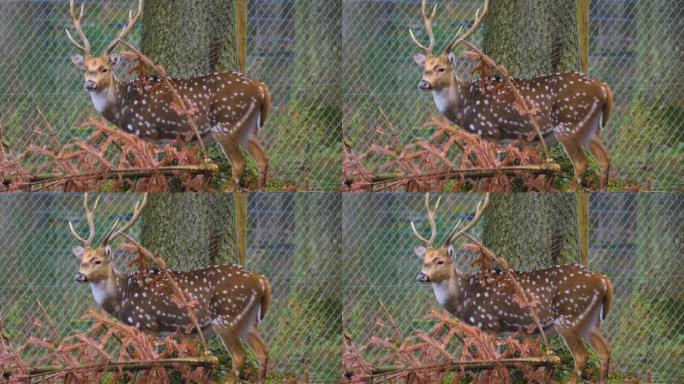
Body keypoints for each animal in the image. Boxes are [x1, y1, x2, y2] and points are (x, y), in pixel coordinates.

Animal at [65, 0, 270, 190]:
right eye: (85, 68)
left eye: (104, 68)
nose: (89, 84)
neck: (123, 105)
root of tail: (261, 88)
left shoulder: (147, 131)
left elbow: (149, 169)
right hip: (247, 128)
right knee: (263, 160)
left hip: (226, 124)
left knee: (239, 164)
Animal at [69, 195, 272, 384]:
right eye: (82, 260)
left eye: (97, 261)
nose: (78, 275)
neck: (123, 296)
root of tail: (262, 281)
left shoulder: (148, 323)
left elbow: (148, 362)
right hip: (247, 321)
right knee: (263, 352)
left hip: (226, 317)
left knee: (240, 356)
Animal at [412, 0, 616, 190]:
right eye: (424, 68)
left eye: (441, 68)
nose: (423, 83)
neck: (465, 105)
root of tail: (603, 87)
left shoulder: (490, 131)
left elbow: (493, 169)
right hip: (590, 128)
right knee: (605, 159)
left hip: (568, 124)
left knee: (581, 163)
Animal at [412, 194, 616, 382]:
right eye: (424, 260)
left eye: (440, 261)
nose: (421, 275)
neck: (465, 297)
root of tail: (604, 280)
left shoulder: (490, 323)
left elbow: (491, 361)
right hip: (590, 320)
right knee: (606, 351)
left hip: (568, 317)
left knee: (582, 356)